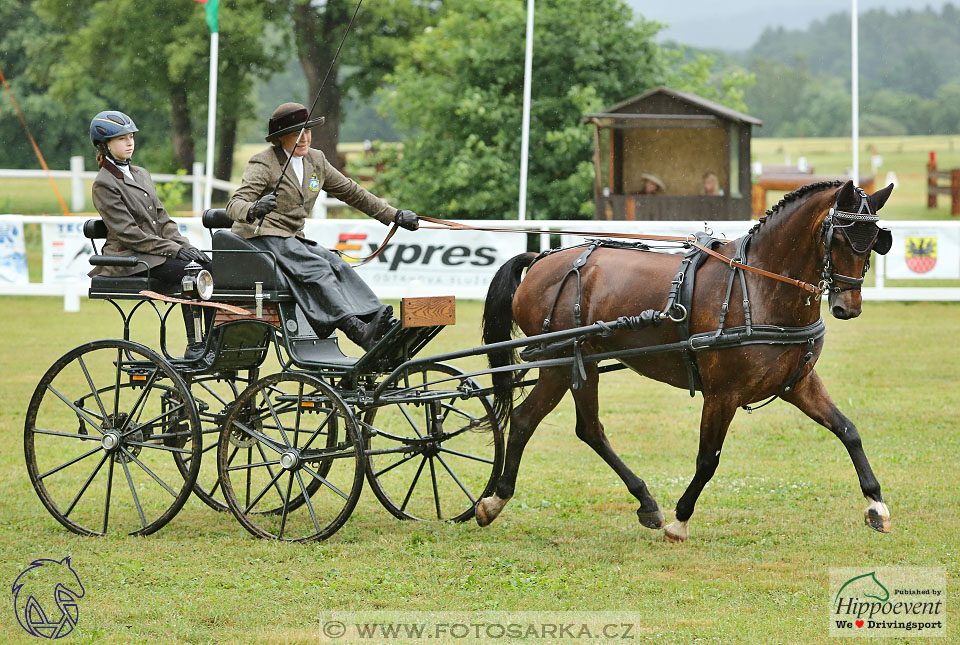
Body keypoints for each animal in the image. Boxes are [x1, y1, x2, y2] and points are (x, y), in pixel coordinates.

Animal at [476, 179, 896, 540]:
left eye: (875, 240)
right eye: (838, 236)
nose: (848, 307)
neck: (758, 285)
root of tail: (542, 258)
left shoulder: (799, 383)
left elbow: (848, 430)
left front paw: (875, 504)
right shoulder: (723, 394)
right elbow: (708, 460)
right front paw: (681, 521)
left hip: (584, 363)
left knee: (589, 428)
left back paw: (645, 501)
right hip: (559, 363)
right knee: (525, 419)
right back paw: (493, 500)